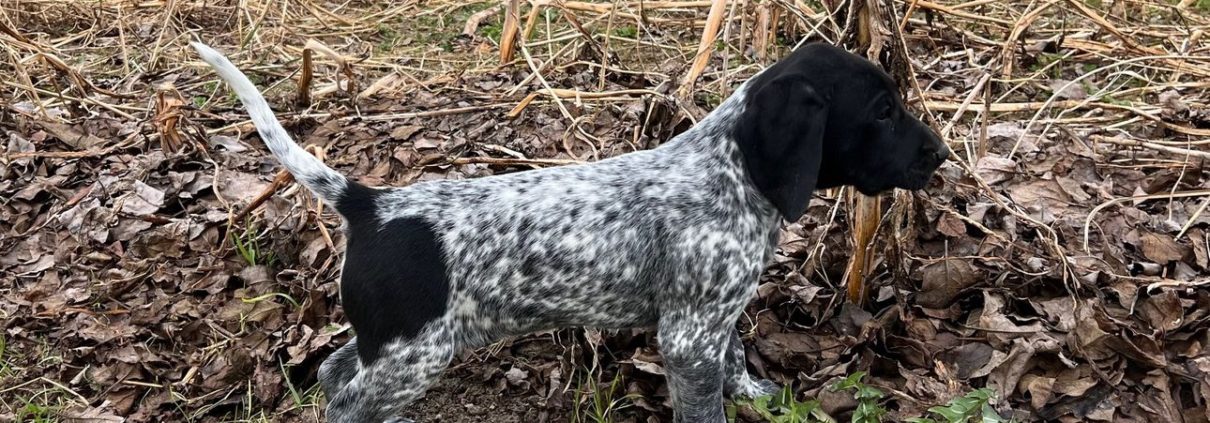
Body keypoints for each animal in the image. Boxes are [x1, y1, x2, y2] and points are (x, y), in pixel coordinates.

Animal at [191, 41, 948, 423]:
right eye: (882, 111)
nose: (940, 154)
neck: (730, 174)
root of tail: (370, 203)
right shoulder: (688, 335)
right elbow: (704, 402)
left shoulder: (713, 319)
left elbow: (736, 361)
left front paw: (758, 395)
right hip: (416, 351)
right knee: (347, 401)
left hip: (396, 341)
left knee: (334, 370)